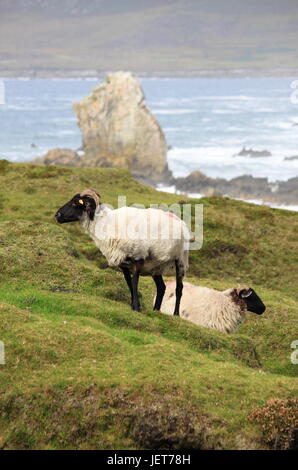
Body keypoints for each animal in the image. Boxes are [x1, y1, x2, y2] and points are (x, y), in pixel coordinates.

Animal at [55, 189, 190, 314]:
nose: (57, 215)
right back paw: (156, 310)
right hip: (155, 265)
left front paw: (136, 308)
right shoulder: (123, 263)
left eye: (74, 203)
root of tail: (180, 221)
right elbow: (129, 283)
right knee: (161, 287)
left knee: (179, 288)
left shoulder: (138, 258)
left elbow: (134, 282)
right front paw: (134, 305)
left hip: (181, 259)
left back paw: (176, 314)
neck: (105, 224)